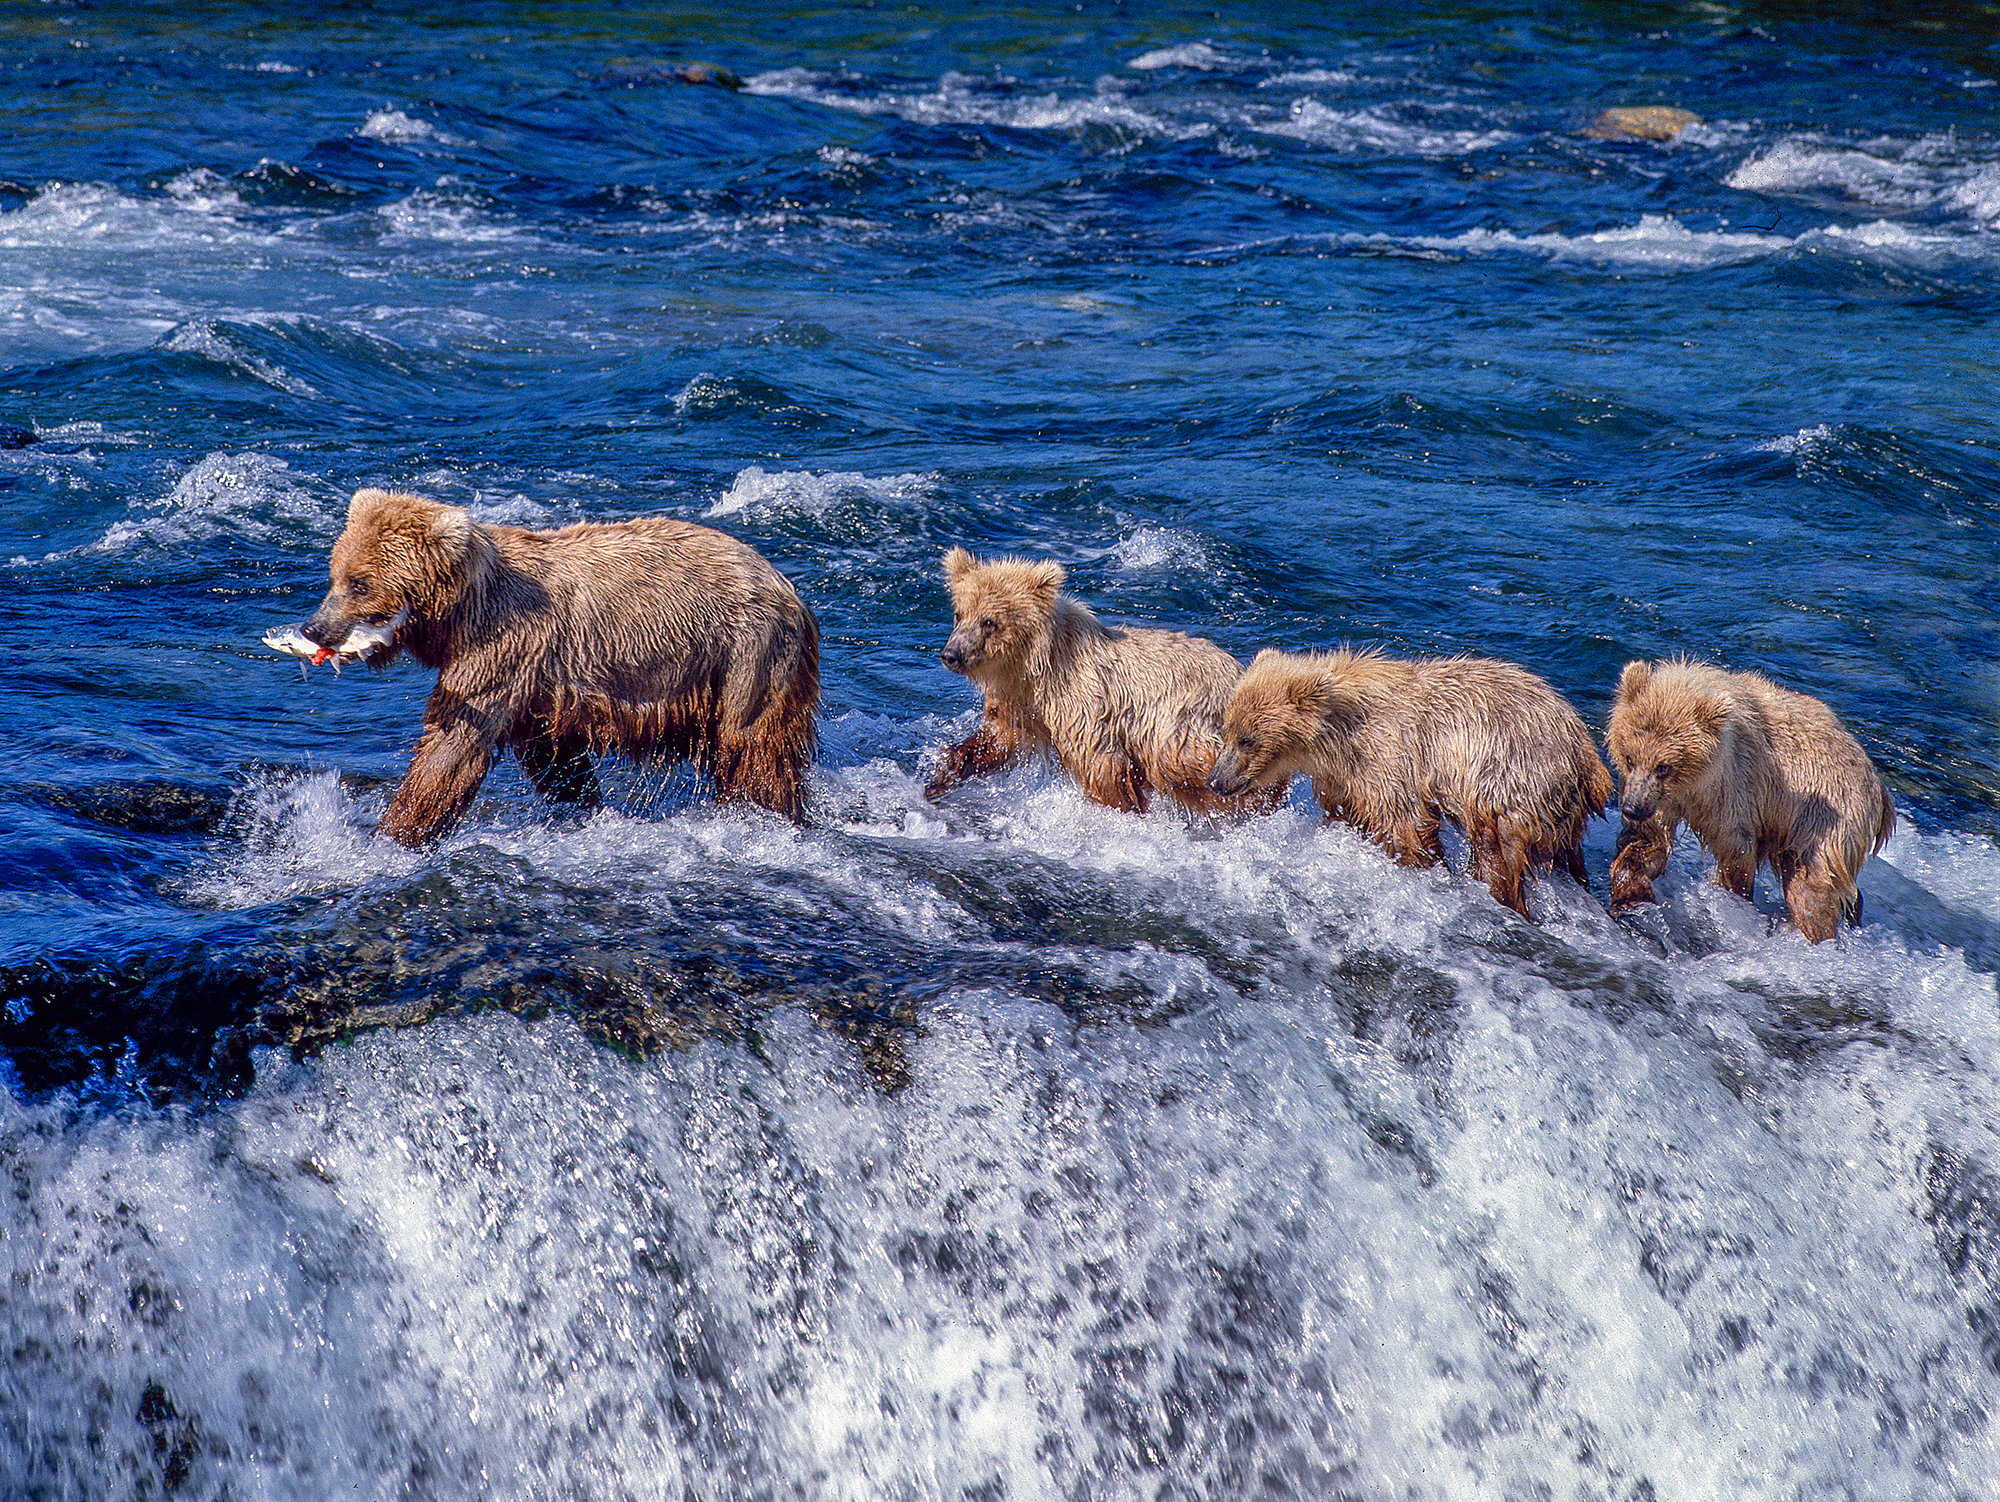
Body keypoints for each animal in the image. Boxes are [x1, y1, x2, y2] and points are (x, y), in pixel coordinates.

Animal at [292, 494, 820, 848]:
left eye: (360, 584)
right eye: (335, 576)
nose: (314, 626)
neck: (462, 611)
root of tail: (790, 586)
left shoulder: (503, 648)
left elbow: (453, 744)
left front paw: (393, 834)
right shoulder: (539, 688)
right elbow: (555, 758)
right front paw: (582, 806)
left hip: (746, 651)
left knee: (754, 745)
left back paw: (768, 815)